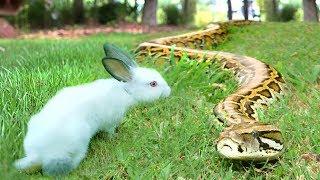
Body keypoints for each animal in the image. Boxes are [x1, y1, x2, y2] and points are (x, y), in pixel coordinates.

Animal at [14, 43, 171, 176]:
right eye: (153, 84)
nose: (169, 91)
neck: (125, 91)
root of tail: (36, 155)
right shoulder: (110, 121)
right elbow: (110, 131)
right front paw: (114, 137)